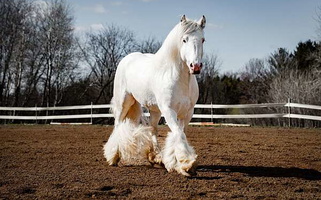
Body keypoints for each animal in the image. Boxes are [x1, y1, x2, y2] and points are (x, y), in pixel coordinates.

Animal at [104, 14, 206, 176]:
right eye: (184, 40)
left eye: (202, 39)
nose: (195, 66)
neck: (178, 78)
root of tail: (127, 59)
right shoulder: (169, 110)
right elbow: (178, 133)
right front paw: (186, 164)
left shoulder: (188, 112)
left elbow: (180, 133)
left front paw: (176, 163)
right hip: (124, 102)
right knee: (118, 125)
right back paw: (113, 157)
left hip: (154, 110)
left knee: (153, 129)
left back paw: (156, 158)